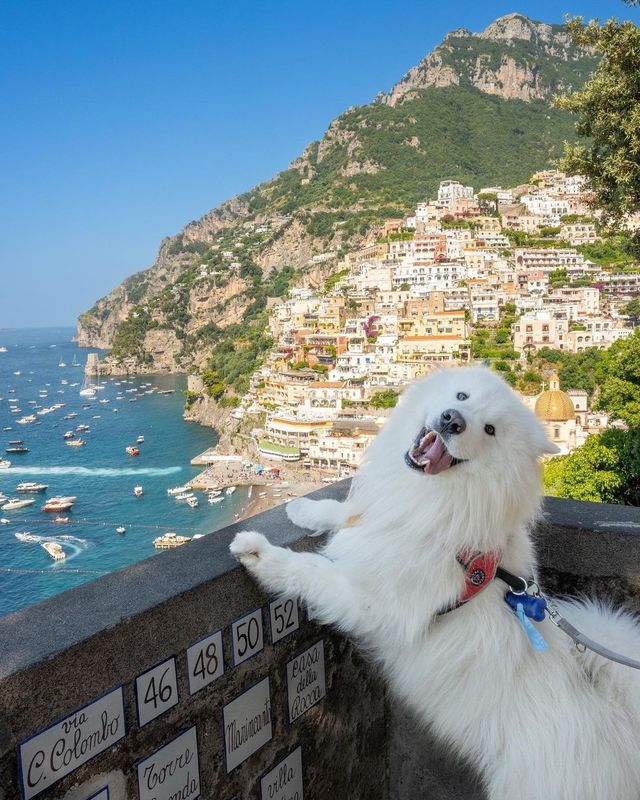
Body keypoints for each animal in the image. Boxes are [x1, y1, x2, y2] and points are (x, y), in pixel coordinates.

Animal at [232, 366, 640, 796]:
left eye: (490, 430)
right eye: (461, 396)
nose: (451, 419)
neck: (436, 500)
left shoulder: (372, 601)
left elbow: (310, 570)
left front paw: (260, 554)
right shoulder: (384, 516)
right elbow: (348, 513)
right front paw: (305, 508)